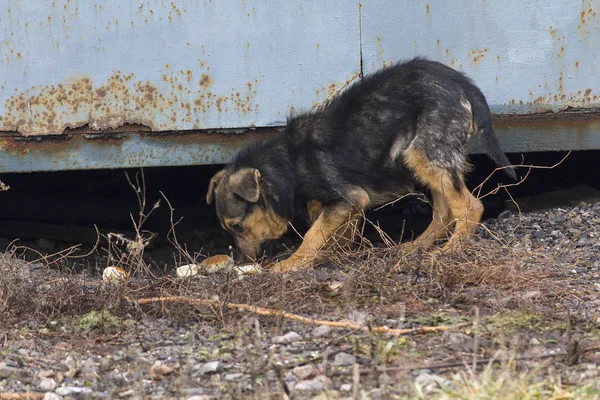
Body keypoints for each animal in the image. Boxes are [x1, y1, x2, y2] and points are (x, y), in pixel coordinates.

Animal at [206, 57, 516, 272]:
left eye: (237, 227)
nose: (240, 261)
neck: (287, 165)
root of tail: (466, 85)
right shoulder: (345, 205)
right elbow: (336, 232)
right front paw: (333, 254)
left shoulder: (349, 197)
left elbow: (313, 233)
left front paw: (294, 263)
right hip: (426, 158)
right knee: (444, 210)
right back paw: (416, 246)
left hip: (425, 153)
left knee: (469, 206)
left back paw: (450, 250)